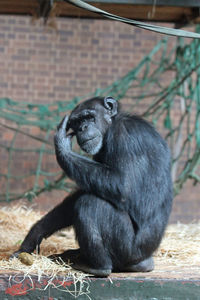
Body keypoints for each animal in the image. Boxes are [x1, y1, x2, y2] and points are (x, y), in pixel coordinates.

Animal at [12, 96, 172, 276]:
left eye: (88, 117)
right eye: (77, 122)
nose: (82, 128)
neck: (110, 126)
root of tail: (144, 262)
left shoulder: (125, 134)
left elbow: (124, 185)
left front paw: (61, 146)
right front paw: (35, 234)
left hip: (129, 251)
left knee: (91, 204)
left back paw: (97, 266)